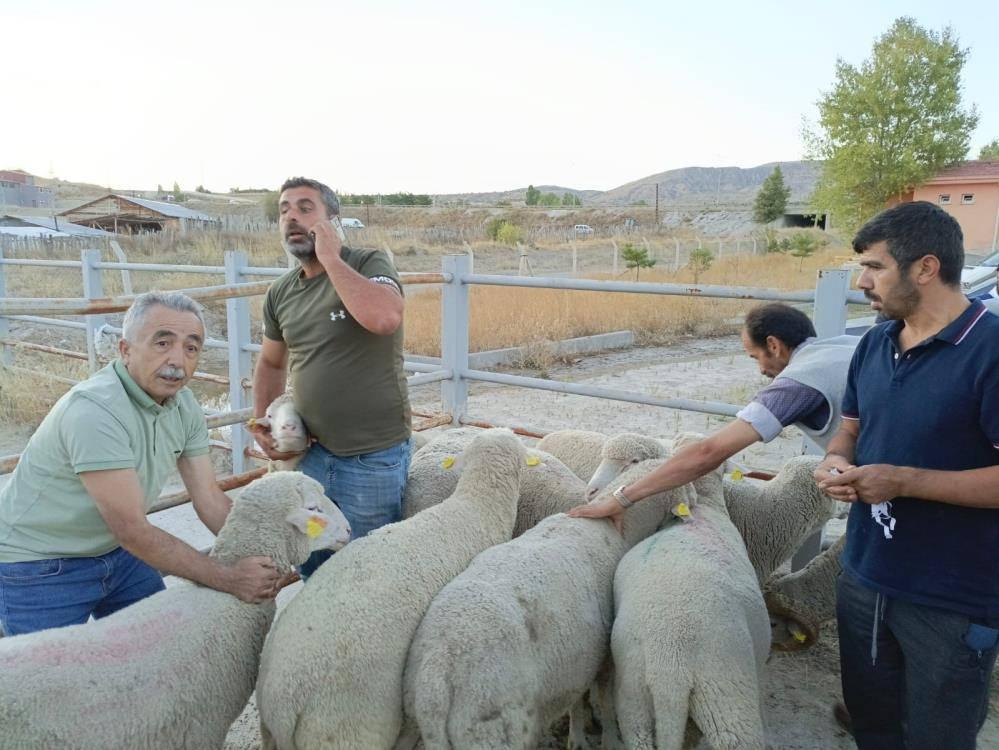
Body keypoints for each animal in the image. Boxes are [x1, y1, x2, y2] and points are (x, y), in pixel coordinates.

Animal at [398, 458, 696, 750]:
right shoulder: (603, 658)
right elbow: (605, 701)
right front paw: (609, 739)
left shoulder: (578, 660)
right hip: (491, 728)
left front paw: (576, 738)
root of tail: (437, 678)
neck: (619, 528)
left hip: (419, 720)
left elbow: (577, 699)